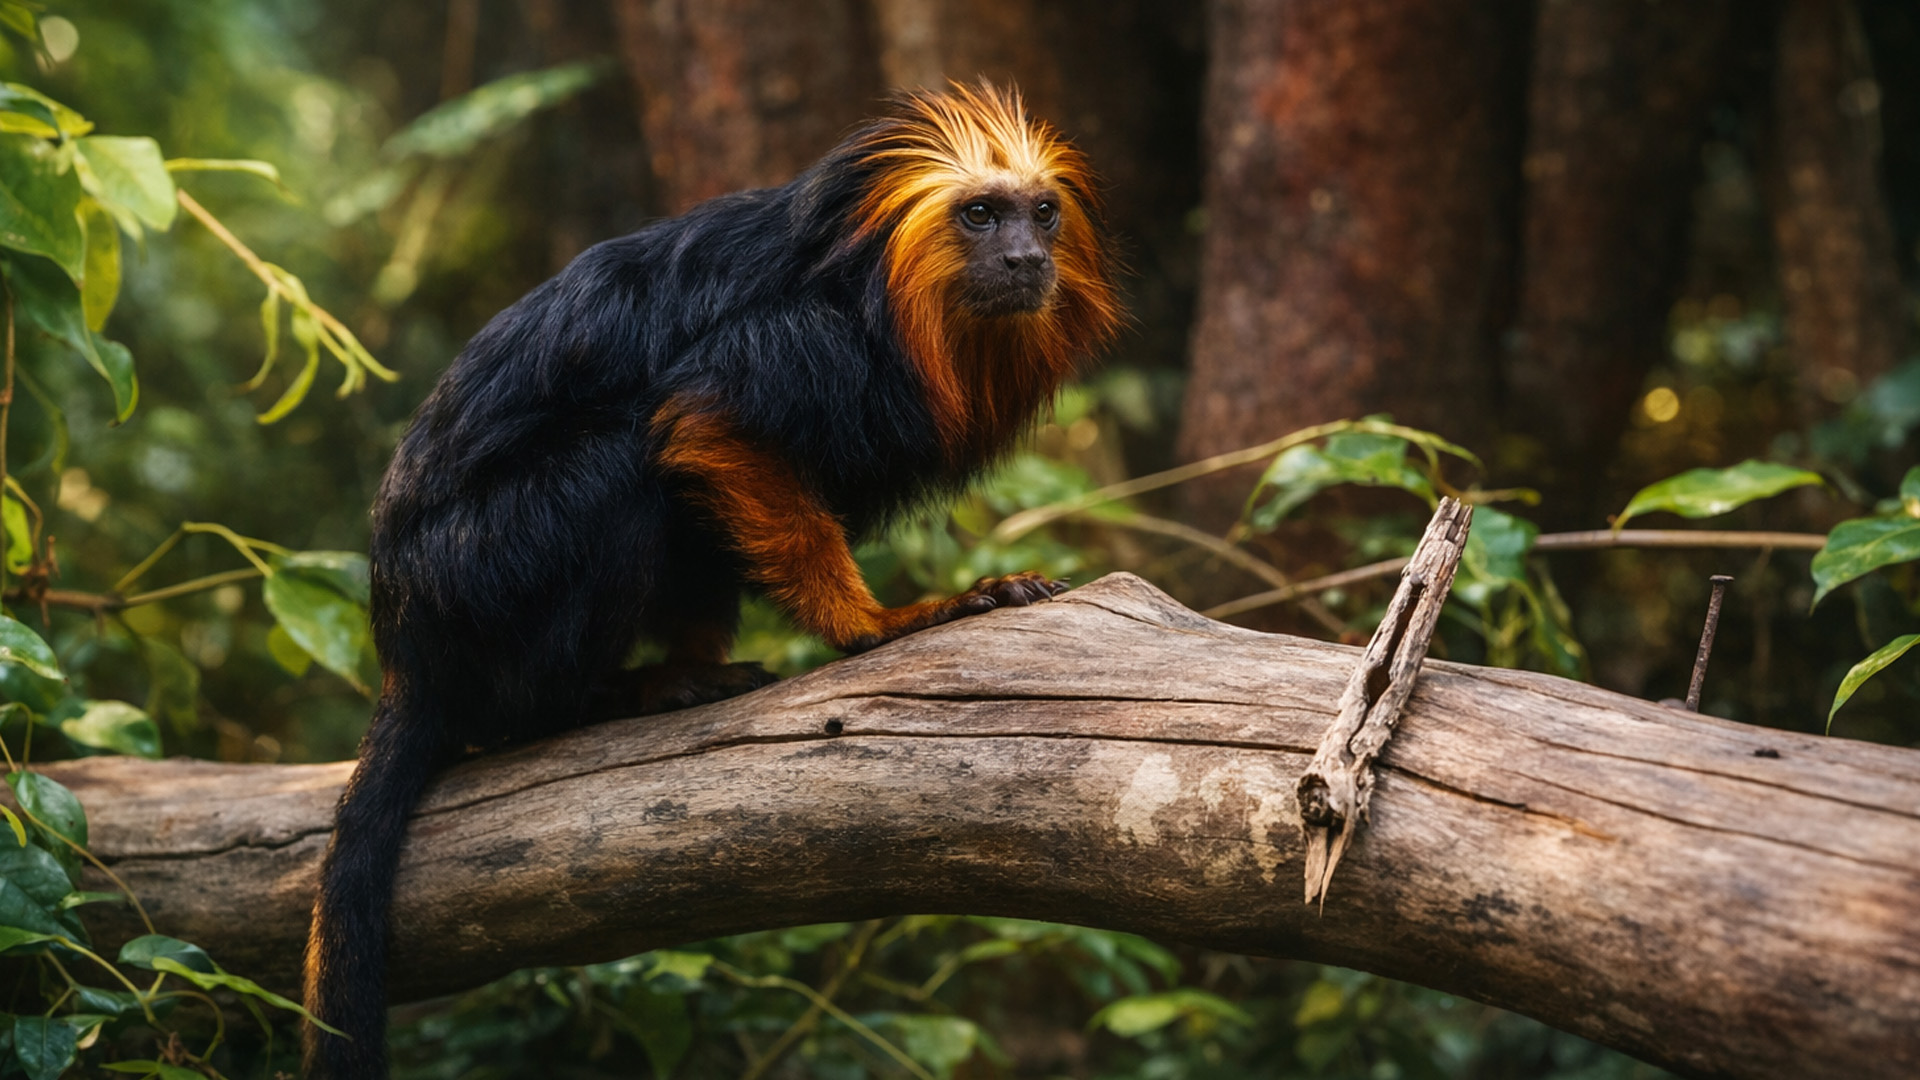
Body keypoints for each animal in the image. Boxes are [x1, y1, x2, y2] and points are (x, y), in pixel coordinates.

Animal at [301, 82, 1122, 1078]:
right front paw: (877, 625)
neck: (880, 293)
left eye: (1041, 214)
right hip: (481, 572)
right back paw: (596, 699)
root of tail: (405, 645)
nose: (1026, 257)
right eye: (980, 216)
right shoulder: (802, 340)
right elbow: (703, 415)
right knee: (616, 465)